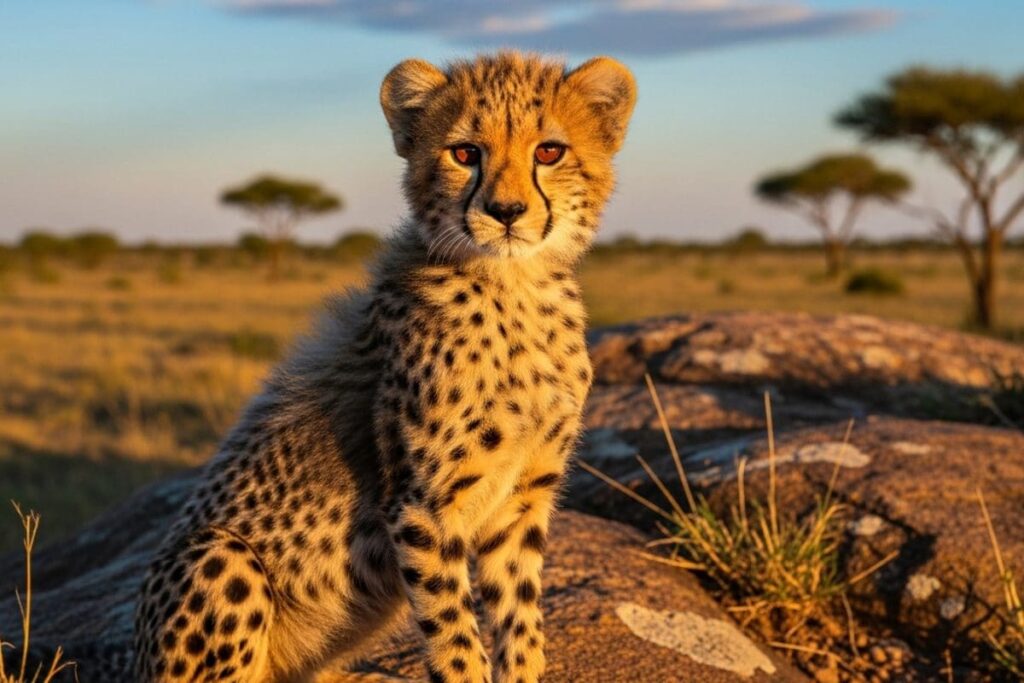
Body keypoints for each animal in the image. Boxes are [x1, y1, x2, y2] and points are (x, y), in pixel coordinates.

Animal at [133, 51, 636, 683]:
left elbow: (519, 619)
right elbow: (455, 635)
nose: (506, 212)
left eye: (549, 151)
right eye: (464, 153)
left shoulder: (522, 498)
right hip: (222, 554)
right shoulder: (422, 507)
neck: (513, 286)